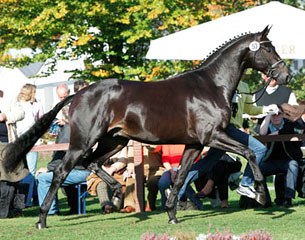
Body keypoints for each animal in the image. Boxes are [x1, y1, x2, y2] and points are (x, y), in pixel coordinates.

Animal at [2, 25, 288, 228]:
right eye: (268, 48)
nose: (285, 75)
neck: (210, 86)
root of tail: (78, 94)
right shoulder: (213, 136)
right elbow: (249, 152)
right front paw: (259, 193)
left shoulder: (195, 145)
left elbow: (181, 175)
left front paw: (172, 214)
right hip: (83, 141)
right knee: (63, 170)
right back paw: (42, 219)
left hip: (114, 140)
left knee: (93, 163)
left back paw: (118, 194)